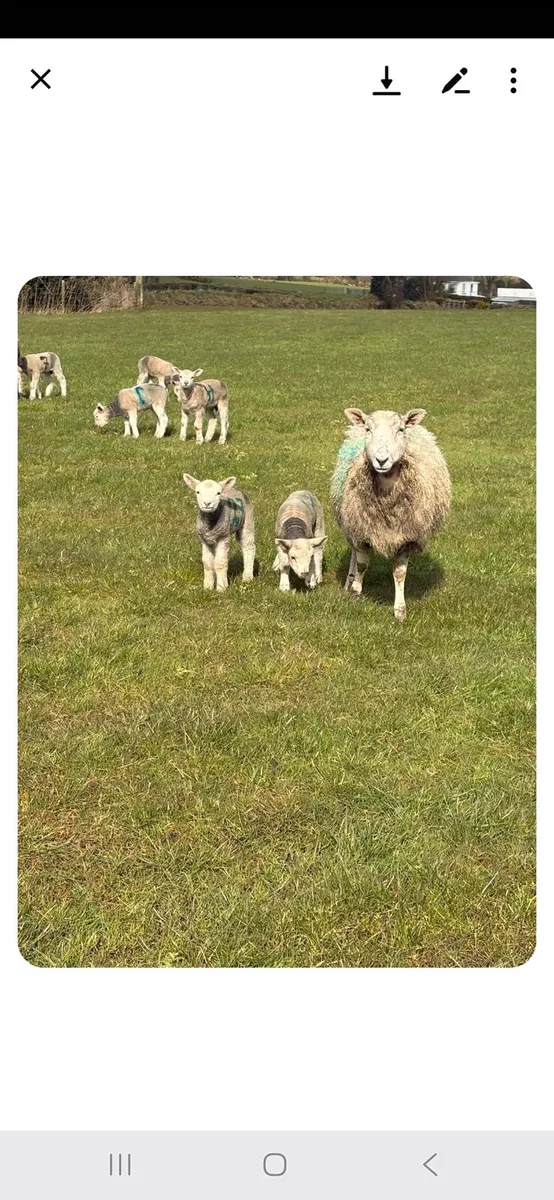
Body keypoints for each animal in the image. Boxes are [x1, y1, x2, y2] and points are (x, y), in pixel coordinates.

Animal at [330, 407, 451, 620]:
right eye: (368, 429)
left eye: (400, 430)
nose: (381, 460)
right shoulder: (361, 531)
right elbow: (362, 565)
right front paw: (356, 593)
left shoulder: (407, 538)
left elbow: (400, 574)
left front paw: (400, 611)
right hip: (350, 523)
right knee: (353, 553)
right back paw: (349, 582)